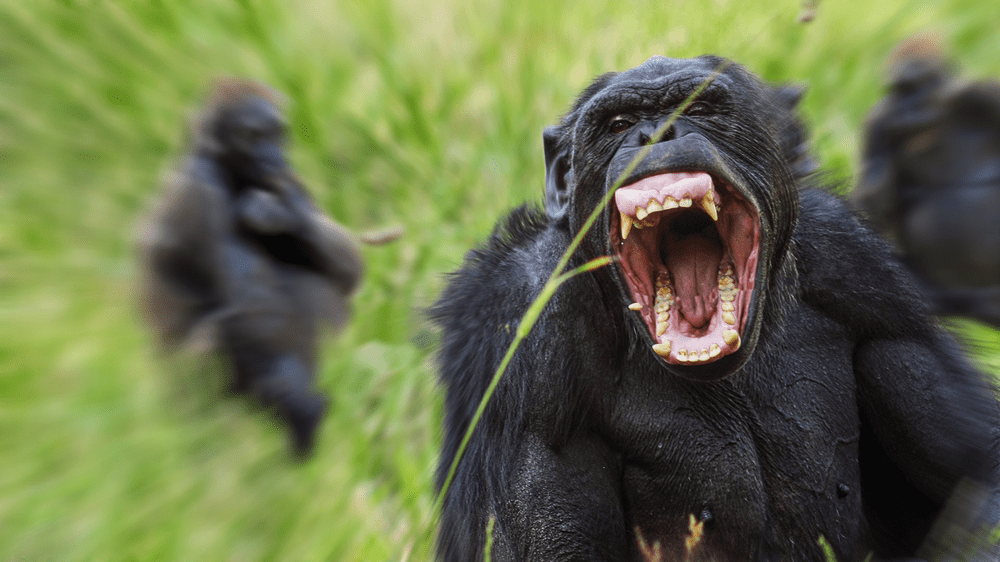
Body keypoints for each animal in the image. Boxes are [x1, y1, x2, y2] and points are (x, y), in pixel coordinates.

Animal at [137, 79, 364, 456]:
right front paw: (304, 417)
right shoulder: (203, 190)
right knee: (223, 336)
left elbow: (350, 271)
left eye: (277, 133)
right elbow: (254, 311)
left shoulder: (289, 179)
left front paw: (285, 212)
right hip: (185, 404)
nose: (272, 157)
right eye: (252, 135)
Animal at [848, 35, 1000, 328]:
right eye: (897, 90)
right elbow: (868, 209)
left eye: (913, 87)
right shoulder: (877, 121)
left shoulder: (984, 94)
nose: (905, 109)